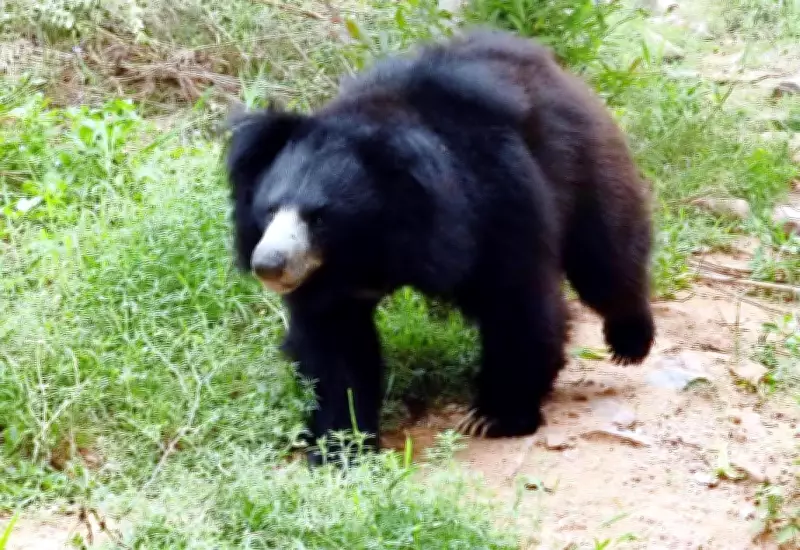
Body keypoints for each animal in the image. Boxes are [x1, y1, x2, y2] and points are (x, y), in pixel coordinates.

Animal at [225, 29, 655, 465]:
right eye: (269, 210)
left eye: (319, 217)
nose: (269, 264)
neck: (369, 249)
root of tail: (546, 60)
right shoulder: (326, 279)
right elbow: (334, 343)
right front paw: (341, 448)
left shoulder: (497, 201)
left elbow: (516, 300)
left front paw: (494, 417)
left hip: (582, 161)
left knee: (604, 254)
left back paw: (629, 341)